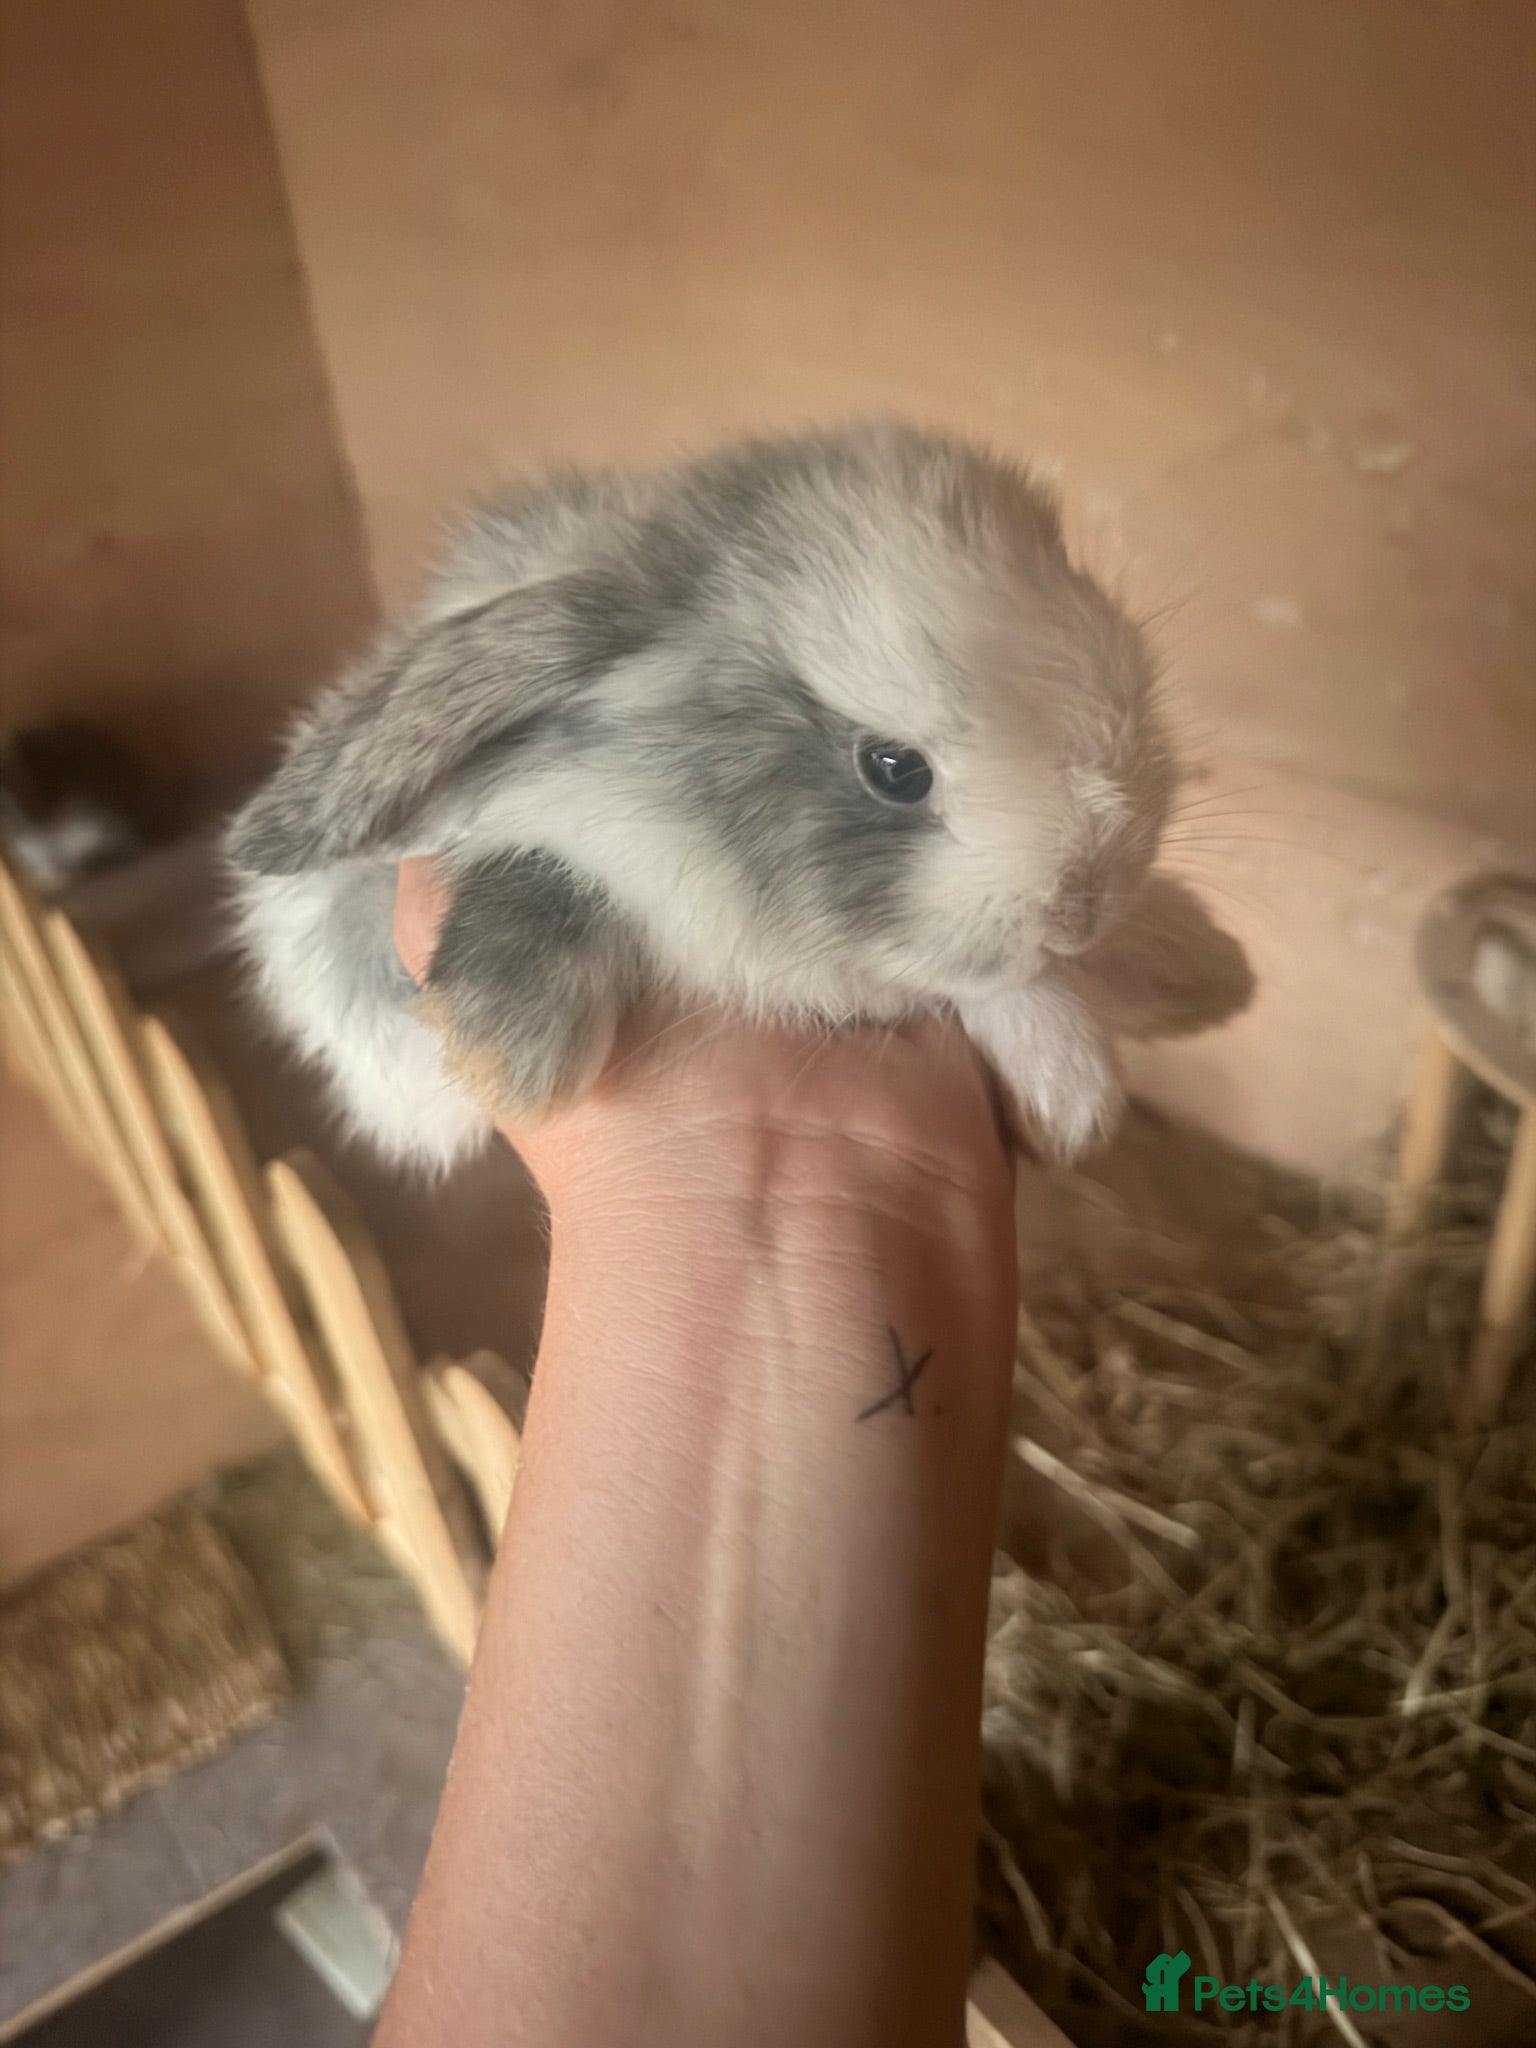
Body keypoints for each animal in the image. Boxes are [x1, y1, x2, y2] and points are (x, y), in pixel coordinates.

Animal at [226, 422, 1253, 1175]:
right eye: (893, 768)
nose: (1084, 903)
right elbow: (541, 867)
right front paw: (510, 1059)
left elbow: (1001, 981)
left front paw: (1171, 996)